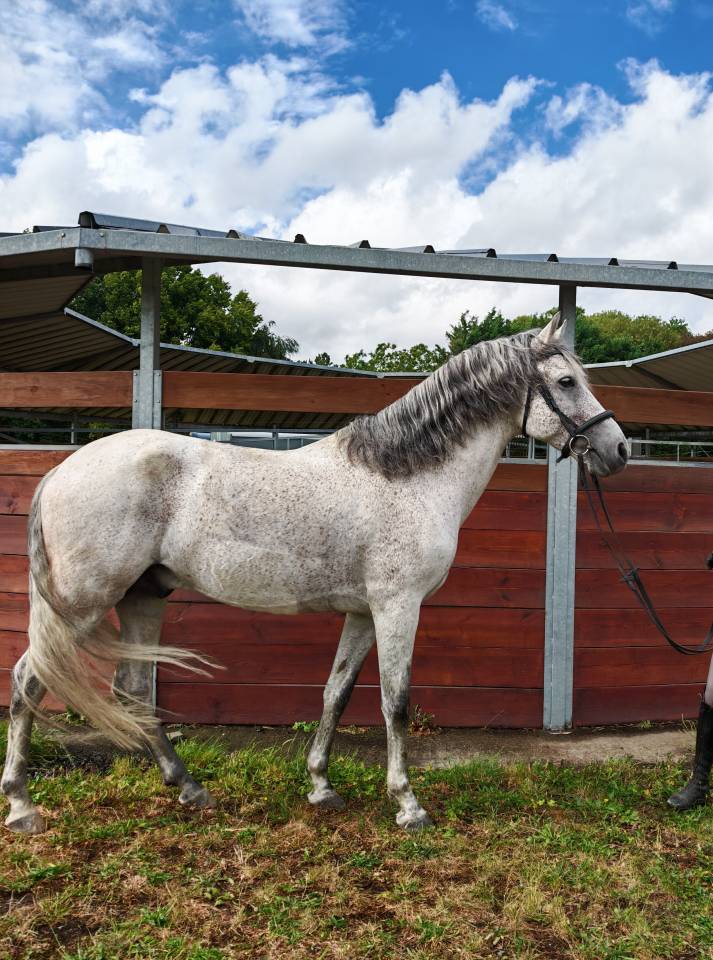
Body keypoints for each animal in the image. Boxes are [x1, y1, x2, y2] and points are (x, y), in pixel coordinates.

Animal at [1, 315, 628, 834]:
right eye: (566, 382)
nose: (617, 449)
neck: (407, 478)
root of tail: (62, 469)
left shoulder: (363, 612)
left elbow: (336, 692)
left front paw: (322, 786)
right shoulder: (398, 607)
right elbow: (395, 701)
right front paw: (408, 804)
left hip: (143, 596)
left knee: (131, 689)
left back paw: (189, 788)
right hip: (83, 601)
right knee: (30, 679)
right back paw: (22, 805)